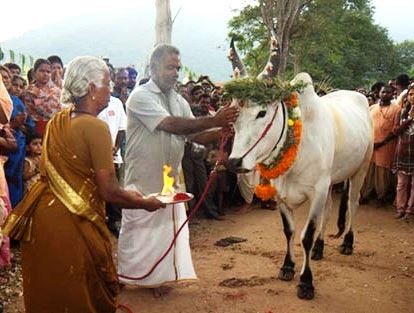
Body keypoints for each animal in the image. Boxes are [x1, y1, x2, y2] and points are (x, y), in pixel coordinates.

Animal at [228, 72, 374, 298]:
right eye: (234, 113)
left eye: (262, 112)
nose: (235, 162)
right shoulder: (282, 195)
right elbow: (289, 231)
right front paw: (287, 267)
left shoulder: (317, 192)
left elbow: (306, 236)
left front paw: (306, 282)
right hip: (331, 181)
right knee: (329, 211)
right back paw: (319, 248)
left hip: (361, 168)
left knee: (352, 204)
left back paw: (347, 243)